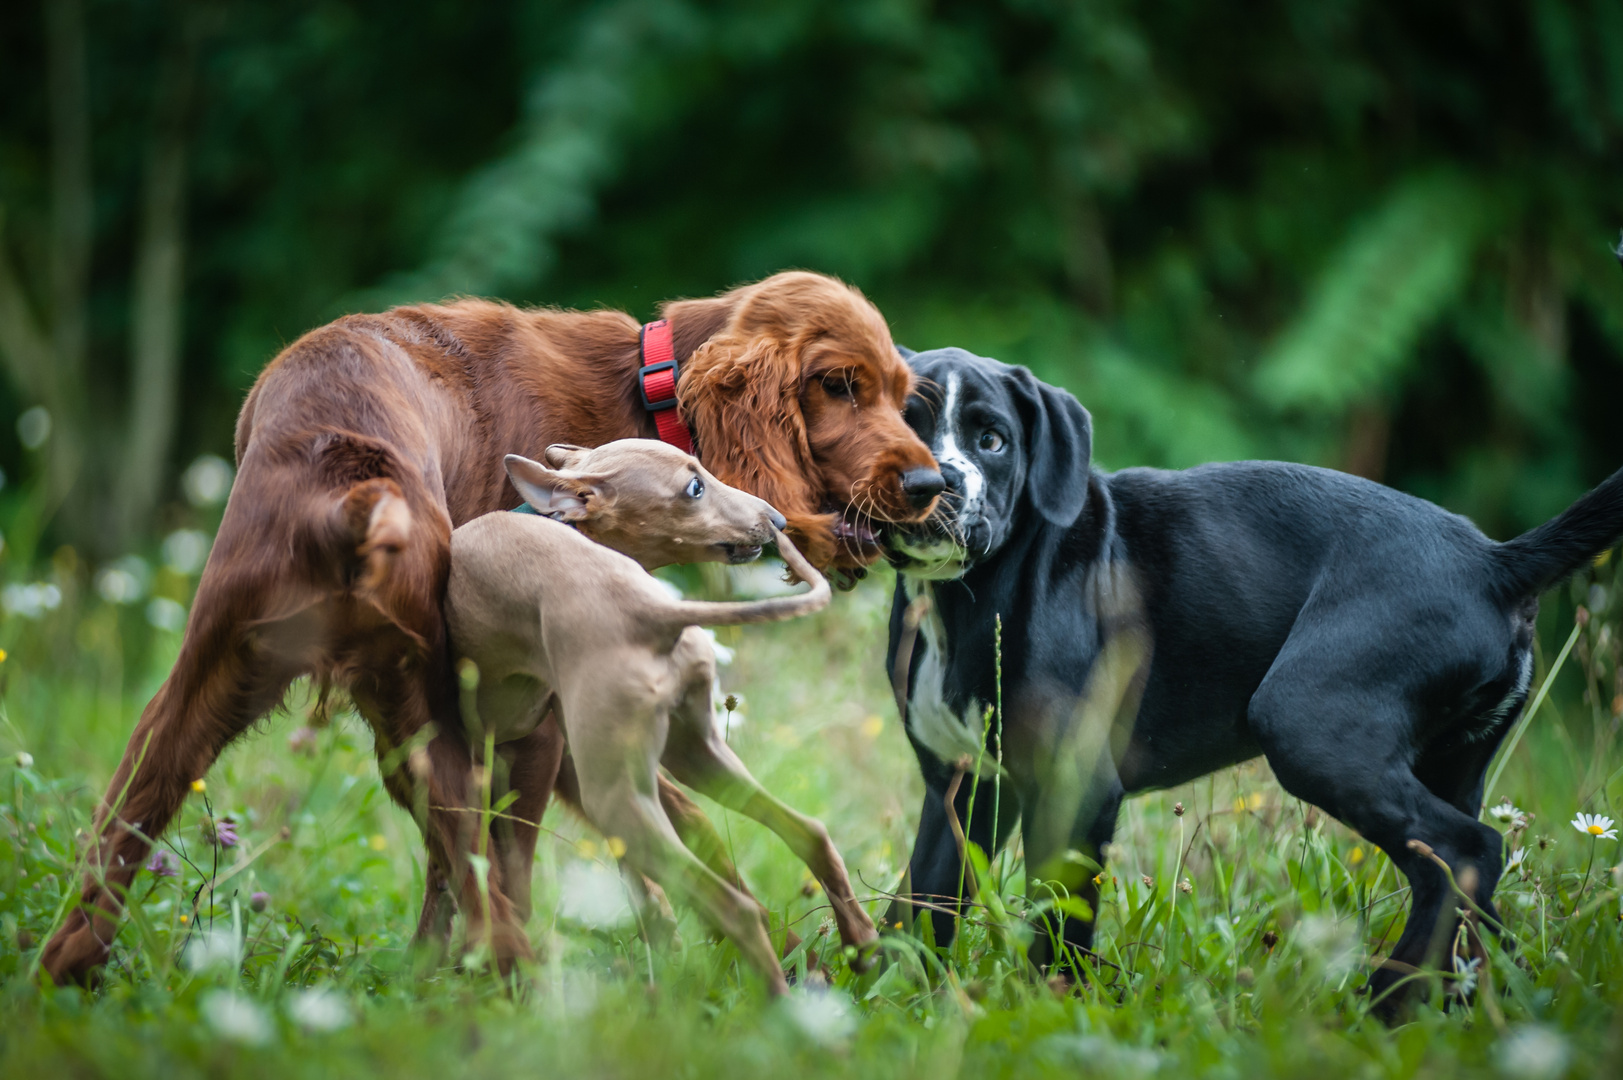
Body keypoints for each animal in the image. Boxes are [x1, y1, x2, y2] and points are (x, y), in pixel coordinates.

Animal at [444, 438, 876, 987]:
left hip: (616, 794)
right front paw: (658, 927)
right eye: (694, 486)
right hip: (694, 754)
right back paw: (862, 947)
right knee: (810, 833)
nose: (779, 520)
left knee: (736, 908)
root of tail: (650, 610)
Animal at [882, 345, 1623, 1013]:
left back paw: (1384, 1004)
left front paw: (1057, 1011)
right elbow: (922, 902)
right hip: (1449, 764)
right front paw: (898, 1000)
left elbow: (1060, 921)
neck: (963, 599)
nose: (935, 483)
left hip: (1309, 727)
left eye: (992, 440)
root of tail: (1497, 562)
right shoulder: (961, 787)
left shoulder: (1075, 784)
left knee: (1466, 850)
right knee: (1470, 896)